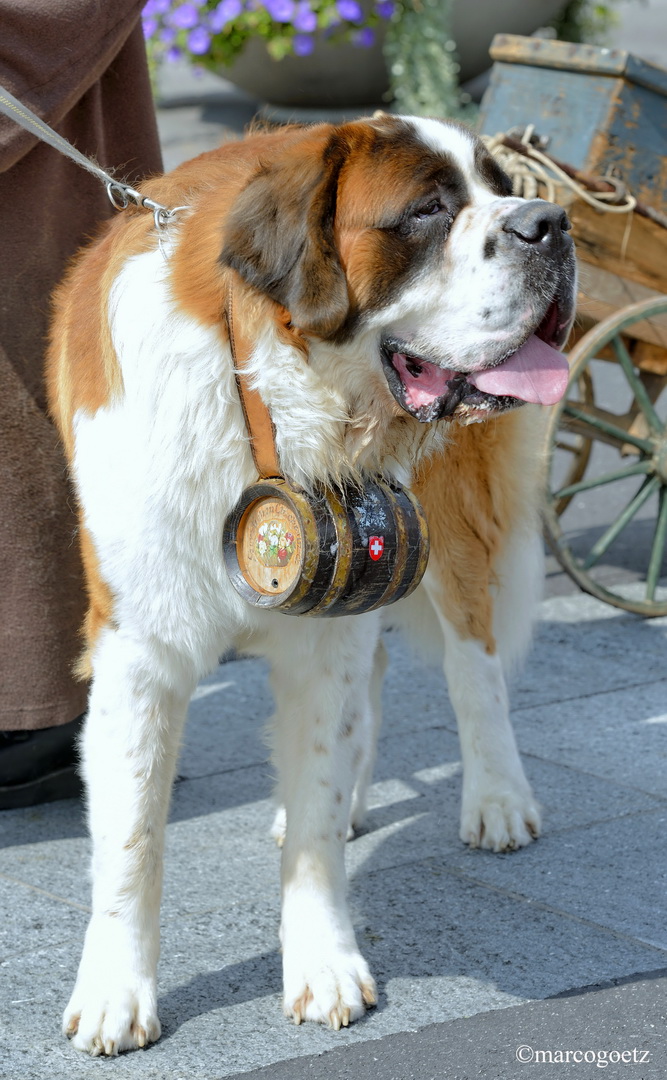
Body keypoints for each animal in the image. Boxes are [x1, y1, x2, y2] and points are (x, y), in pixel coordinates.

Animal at [49, 116, 574, 1054]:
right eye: (426, 210)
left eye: (500, 187)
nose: (547, 223)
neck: (262, 397)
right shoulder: (137, 648)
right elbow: (132, 837)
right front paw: (115, 990)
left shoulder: (327, 628)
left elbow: (320, 811)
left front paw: (323, 963)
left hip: (442, 533)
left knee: (471, 667)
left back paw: (497, 797)